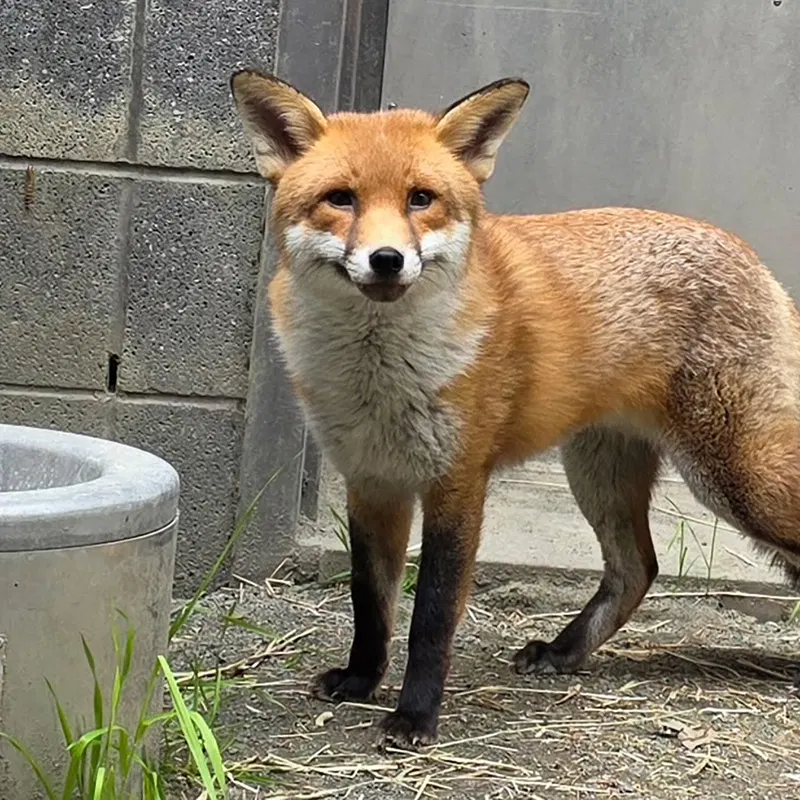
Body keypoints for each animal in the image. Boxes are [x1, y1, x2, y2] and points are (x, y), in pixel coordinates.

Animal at [230, 69, 800, 748]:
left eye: (421, 199)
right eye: (341, 199)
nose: (387, 260)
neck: (379, 380)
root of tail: (751, 255)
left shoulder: (457, 482)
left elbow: (430, 619)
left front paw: (415, 715)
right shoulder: (372, 480)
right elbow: (370, 602)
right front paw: (361, 680)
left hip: (736, 480)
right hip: (598, 474)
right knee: (638, 569)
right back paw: (563, 652)